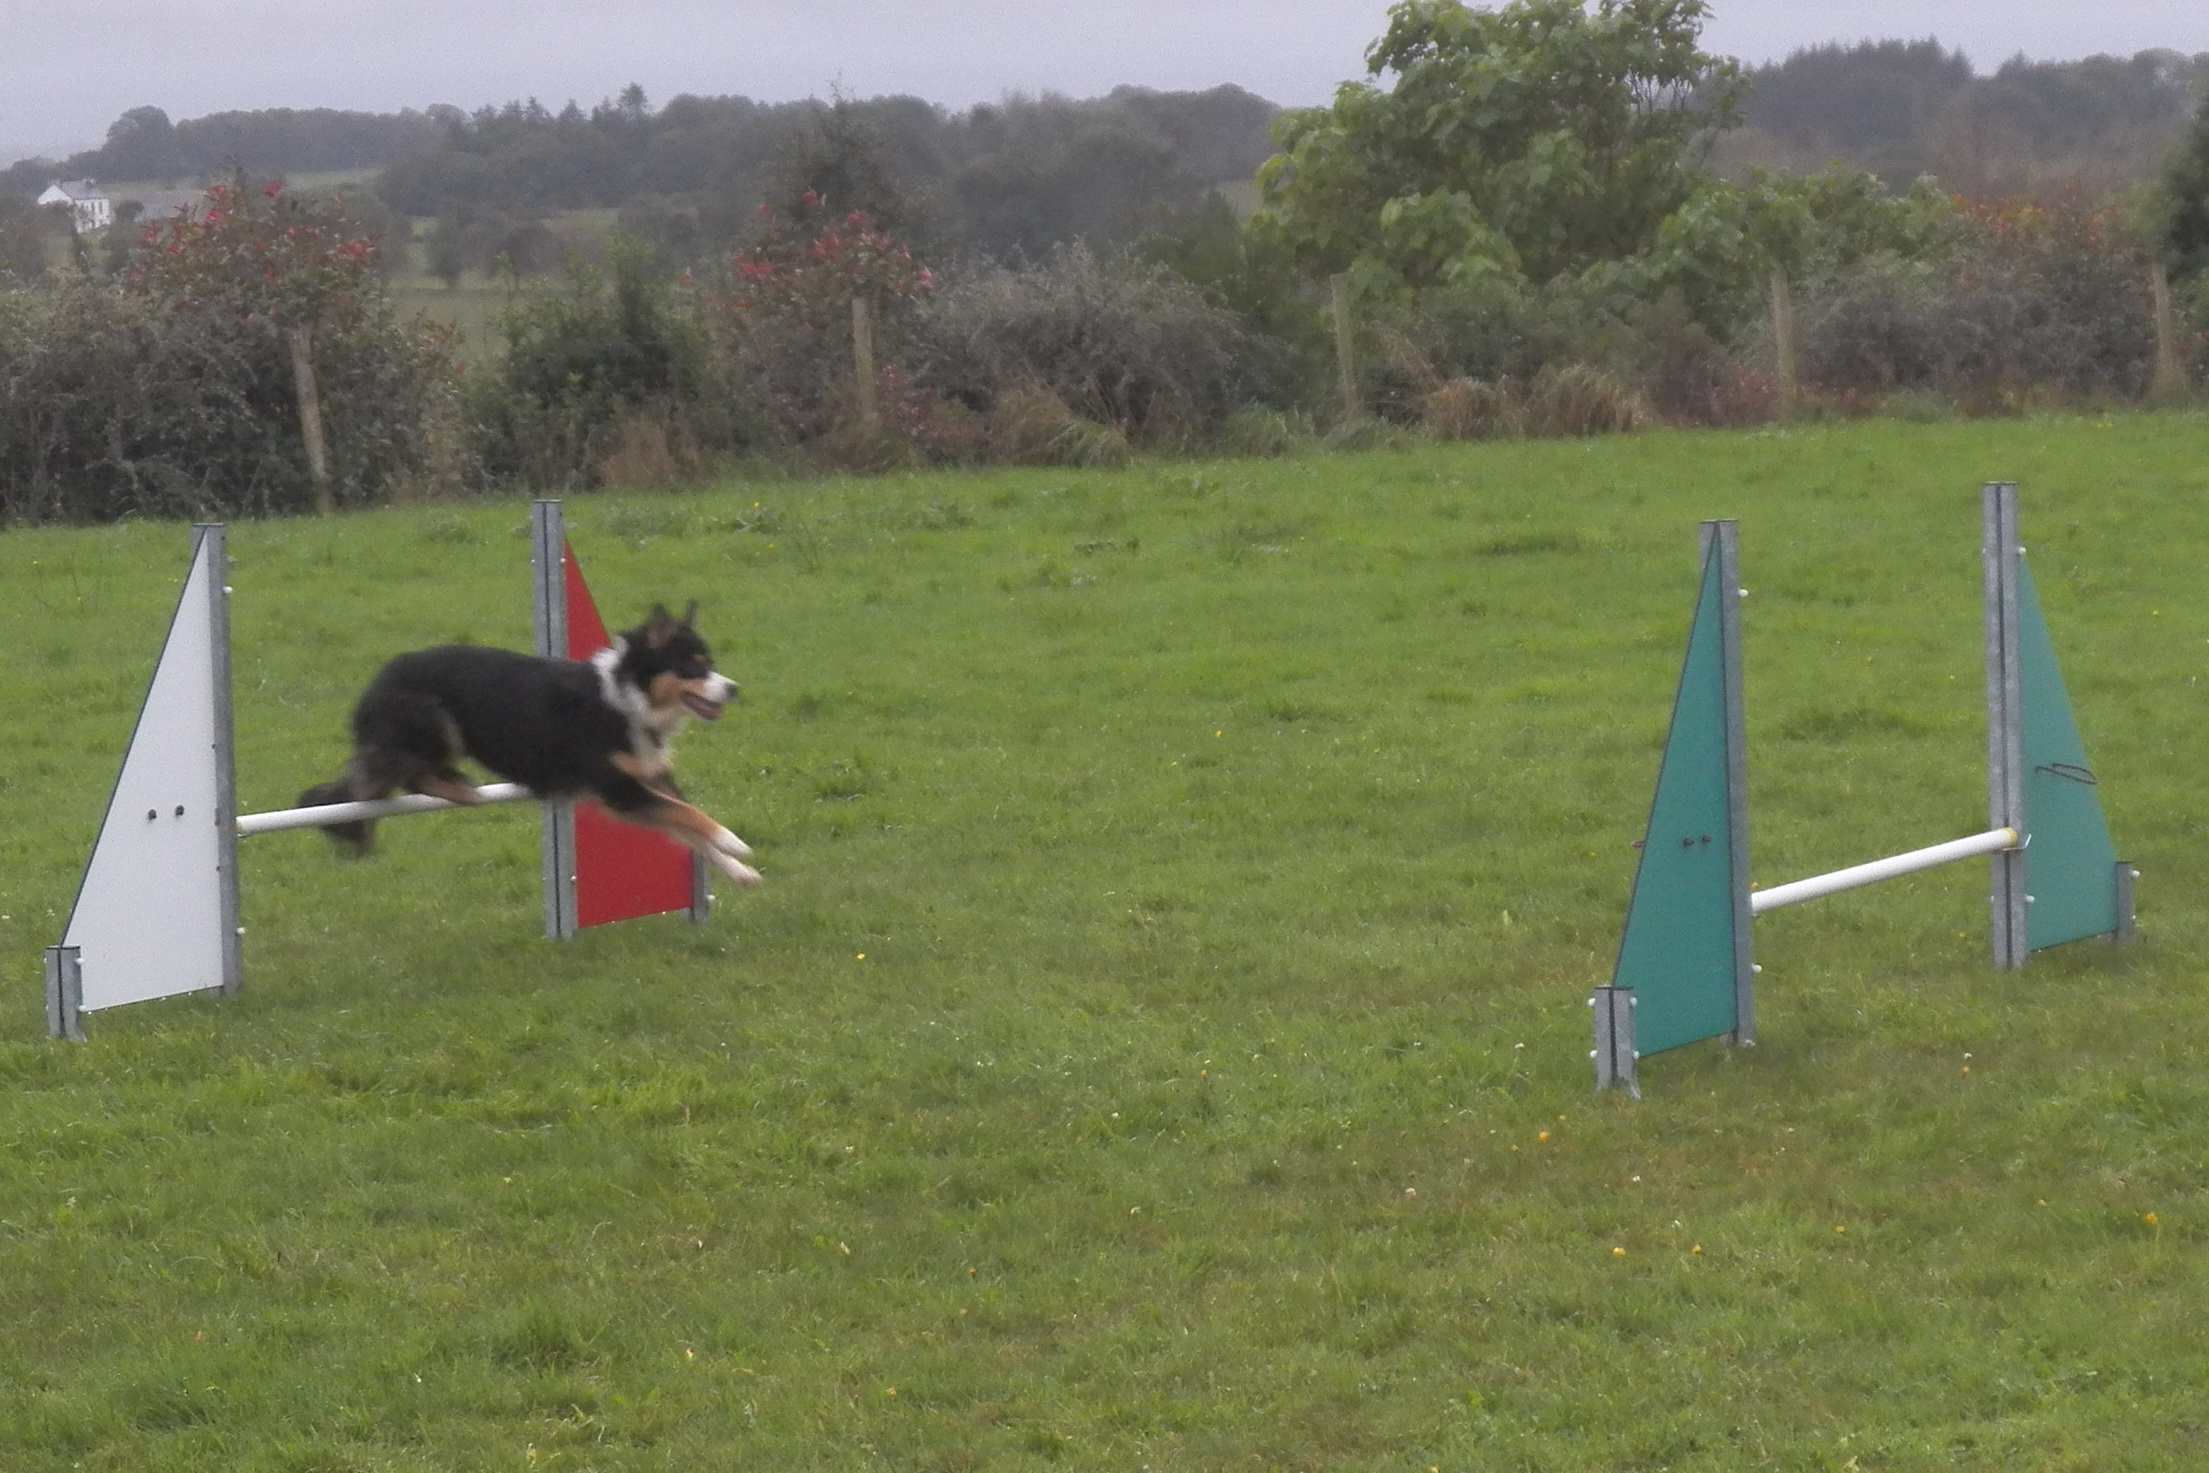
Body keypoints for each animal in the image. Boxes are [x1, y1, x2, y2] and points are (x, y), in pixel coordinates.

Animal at [300, 600, 759, 887]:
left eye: (711, 664)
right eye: (692, 668)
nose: (735, 688)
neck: (627, 697)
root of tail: (373, 685)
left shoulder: (647, 781)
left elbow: (686, 826)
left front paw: (738, 871)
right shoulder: (619, 788)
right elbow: (689, 815)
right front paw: (733, 841)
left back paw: (458, 784)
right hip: (433, 719)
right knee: (403, 778)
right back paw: (462, 792)